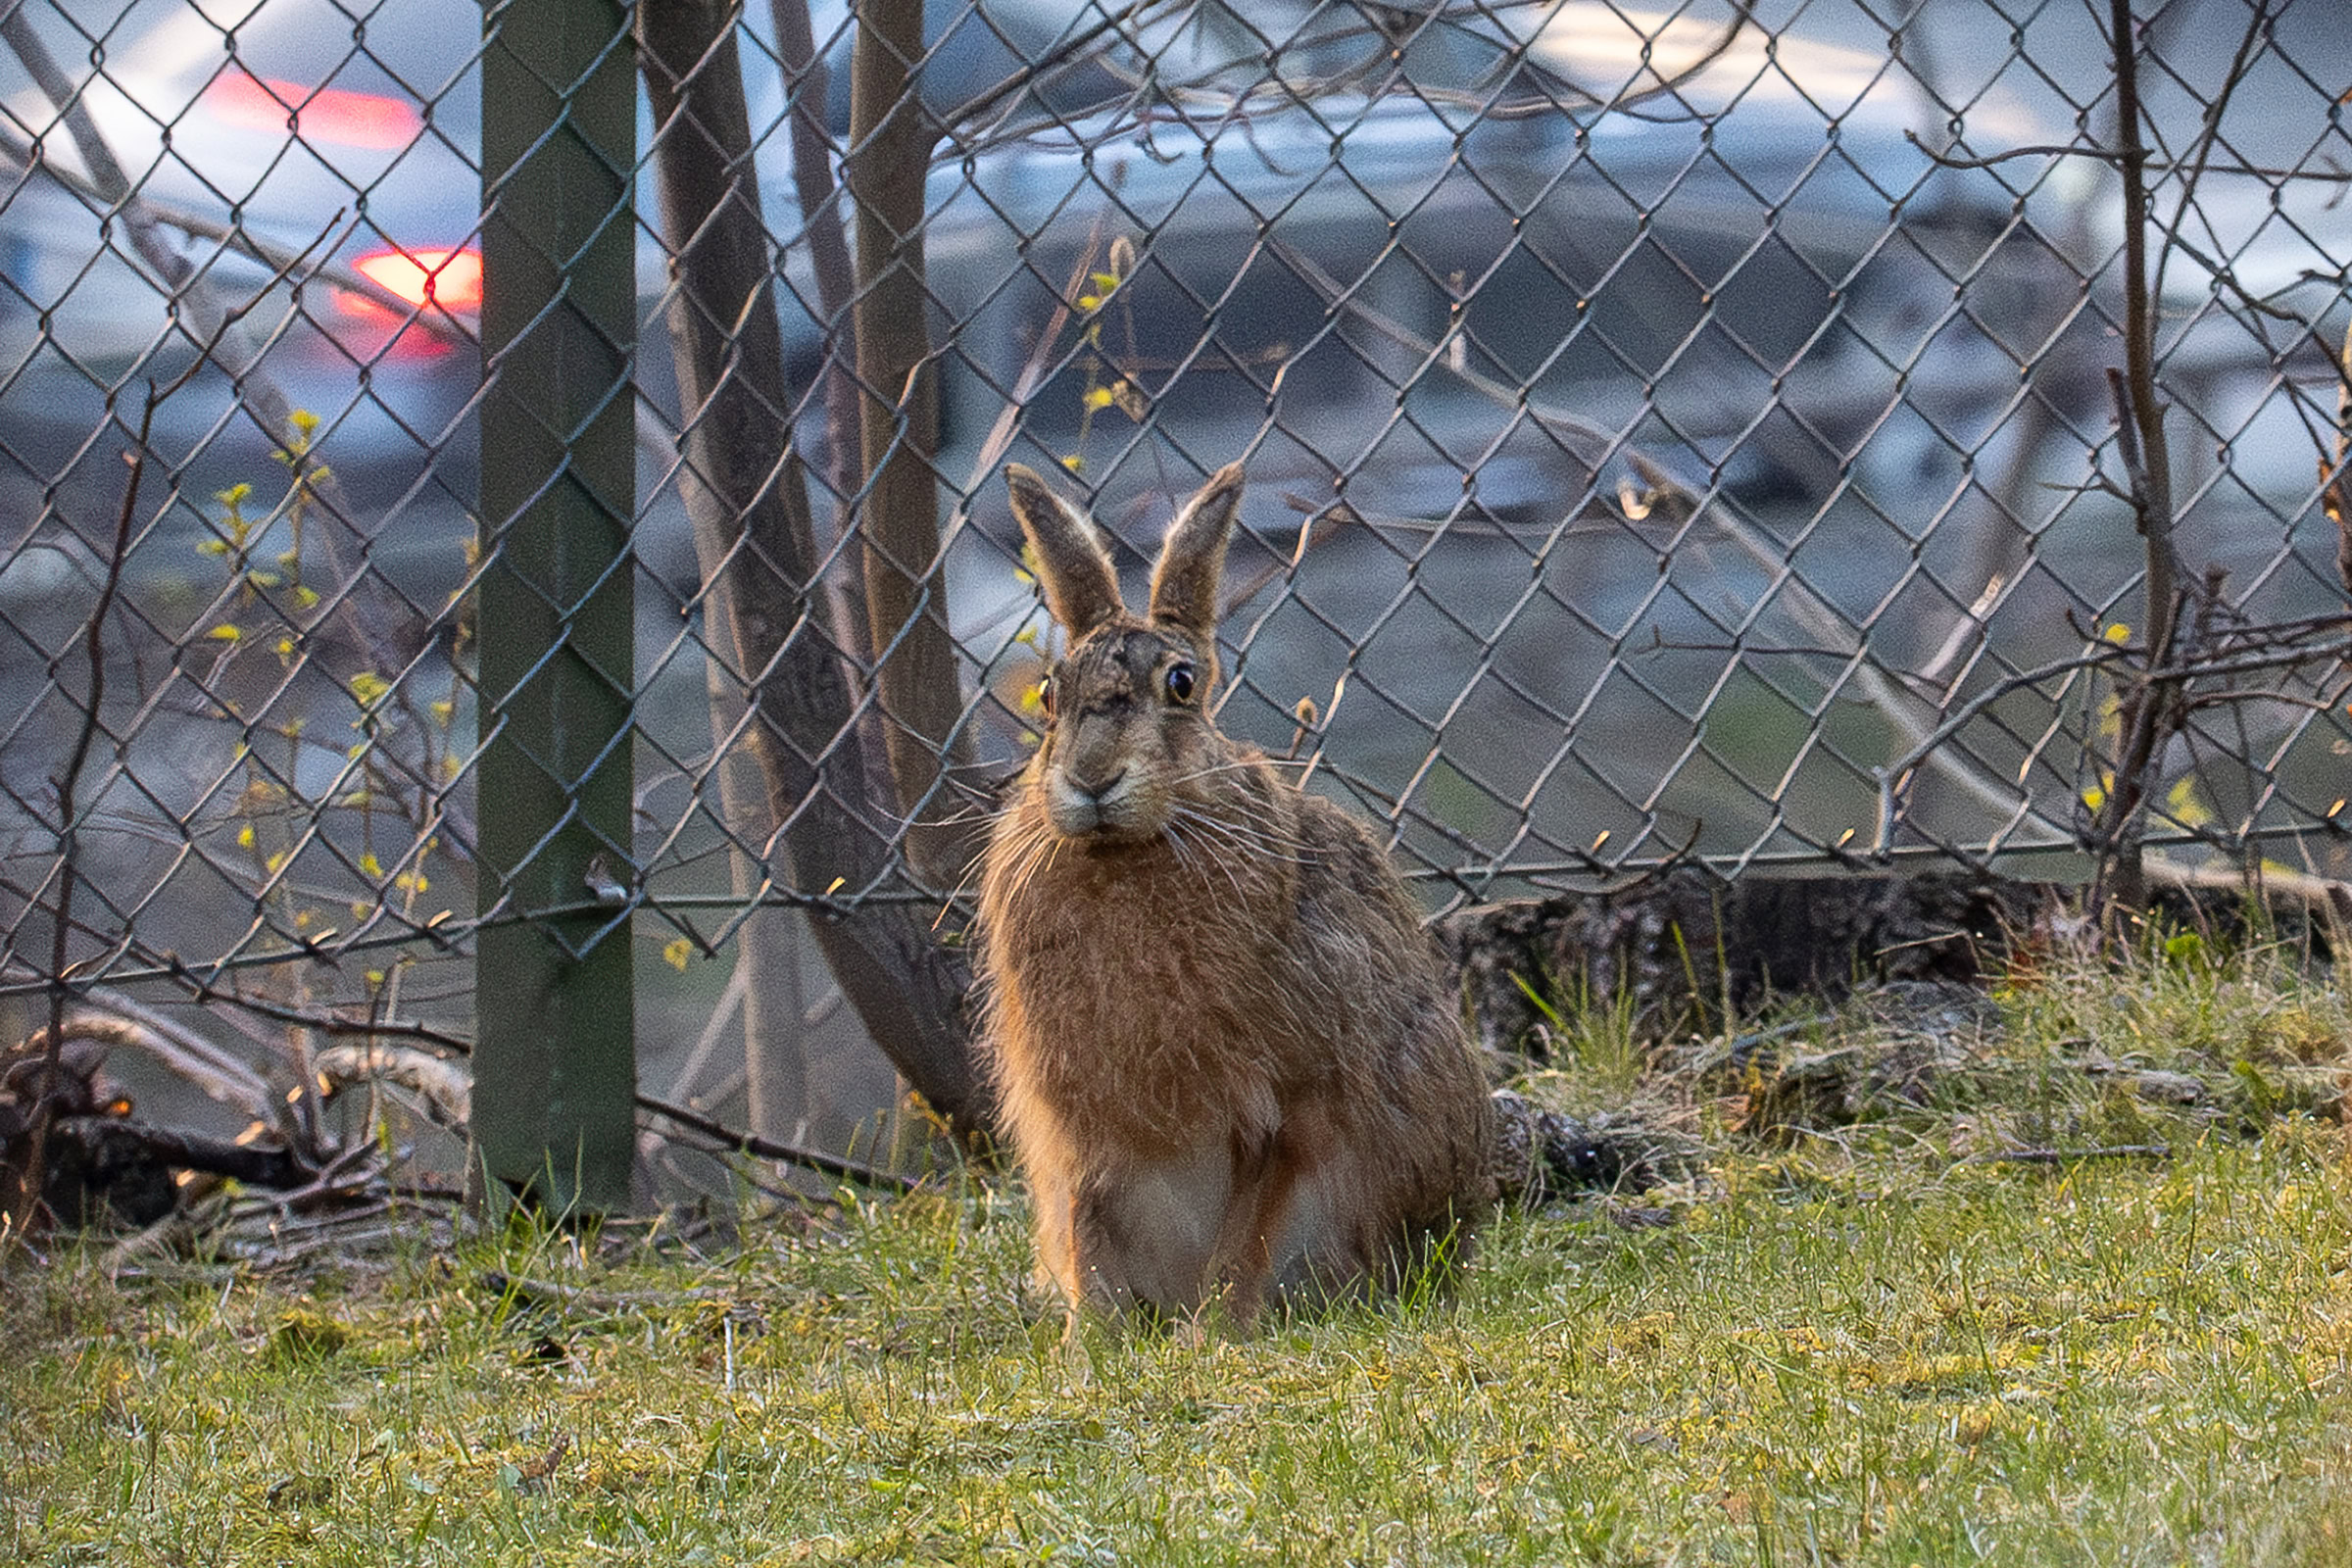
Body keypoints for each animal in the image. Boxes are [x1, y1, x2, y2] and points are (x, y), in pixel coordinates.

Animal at [976, 460, 1497, 1332]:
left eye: (1182, 684)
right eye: (1050, 695)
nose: (1091, 779)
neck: (1136, 847)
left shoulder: (1292, 1107)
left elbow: (1249, 1233)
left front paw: (1214, 1334)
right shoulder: (1081, 1138)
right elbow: (1090, 1241)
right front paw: (1093, 1345)